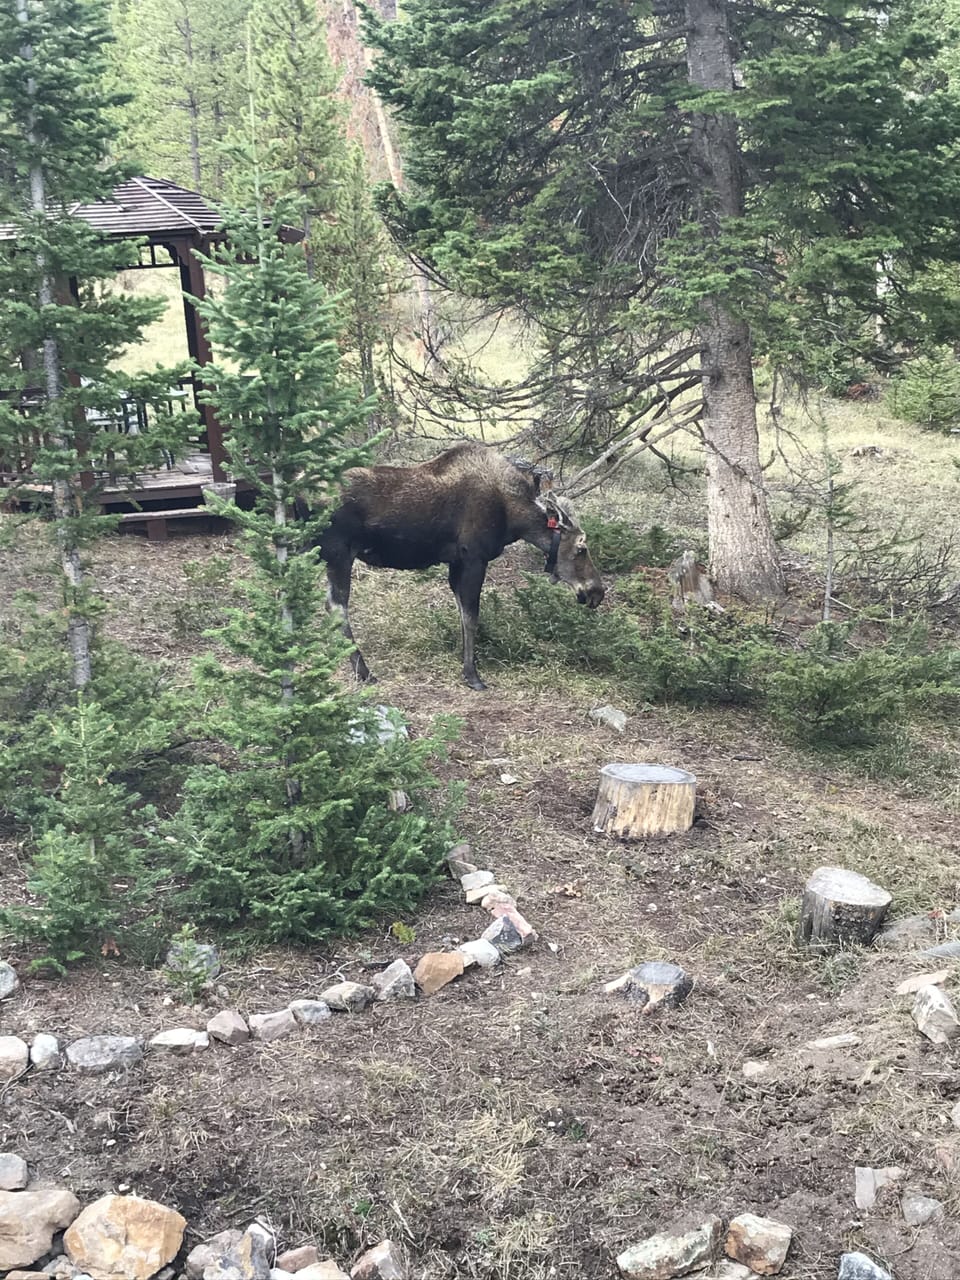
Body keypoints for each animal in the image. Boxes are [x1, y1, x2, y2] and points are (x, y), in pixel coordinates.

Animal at [312, 442, 605, 690]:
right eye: (581, 548)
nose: (597, 592)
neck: (513, 515)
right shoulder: (474, 557)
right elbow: (471, 616)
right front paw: (472, 674)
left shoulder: (456, 562)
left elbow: (462, 614)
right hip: (338, 553)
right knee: (337, 607)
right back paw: (363, 672)